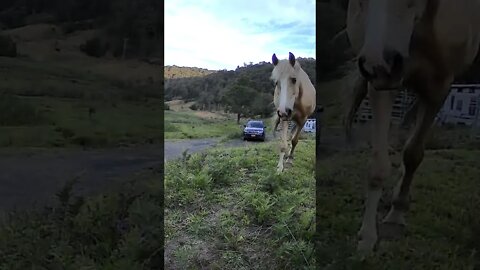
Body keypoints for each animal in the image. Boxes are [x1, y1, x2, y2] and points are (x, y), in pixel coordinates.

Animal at [344, 0, 478, 255]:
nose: (378, 65)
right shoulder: (382, 84)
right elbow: (378, 166)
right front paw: (367, 237)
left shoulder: (439, 88)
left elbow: (413, 154)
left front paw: (397, 213)